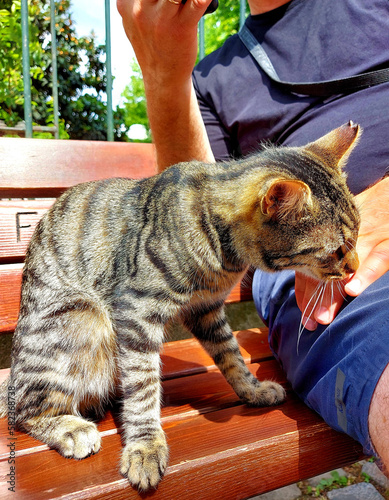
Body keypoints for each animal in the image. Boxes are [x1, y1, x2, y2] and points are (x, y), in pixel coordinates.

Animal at [0, 123, 360, 490]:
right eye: (336, 250)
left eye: (357, 235)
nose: (355, 268)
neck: (223, 251)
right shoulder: (136, 312)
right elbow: (143, 386)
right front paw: (145, 446)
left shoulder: (207, 310)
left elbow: (231, 355)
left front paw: (253, 389)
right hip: (83, 317)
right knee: (27, 410)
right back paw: (70, 428)